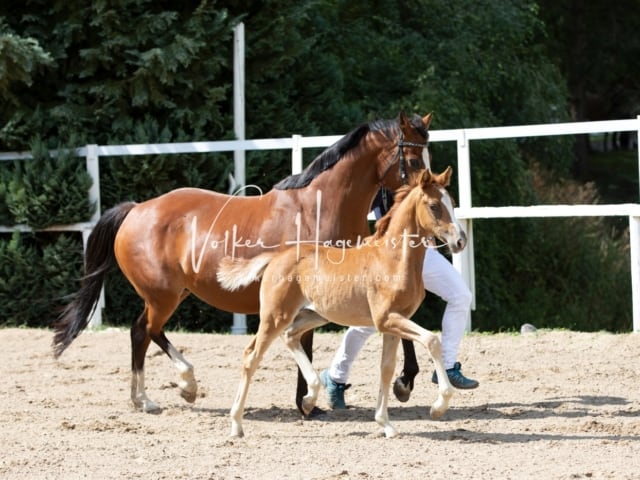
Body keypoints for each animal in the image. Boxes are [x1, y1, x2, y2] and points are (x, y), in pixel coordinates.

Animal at [52, 111, 432, 412]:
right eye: (414, 161)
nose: (429, 196)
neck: (319, 209)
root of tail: (136, 209)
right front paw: (310, 401)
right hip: (163, 296)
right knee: (146, 330)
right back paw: (181, 386)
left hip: (173, 294)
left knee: (140, 333)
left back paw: (144, 398)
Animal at [216, 167, 464, 436]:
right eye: (434, 206)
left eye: (453, 203)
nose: (460, 241)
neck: (393, 259)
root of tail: (276, 257)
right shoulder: (387, 319)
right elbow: (432, 341)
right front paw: (438, 407)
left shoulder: (393, 324)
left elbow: (386, 369)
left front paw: (386, 424)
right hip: (275, 316)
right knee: (252, 356)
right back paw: (236, 424)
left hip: (314, 314)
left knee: (290, 336)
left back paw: (309, 399)